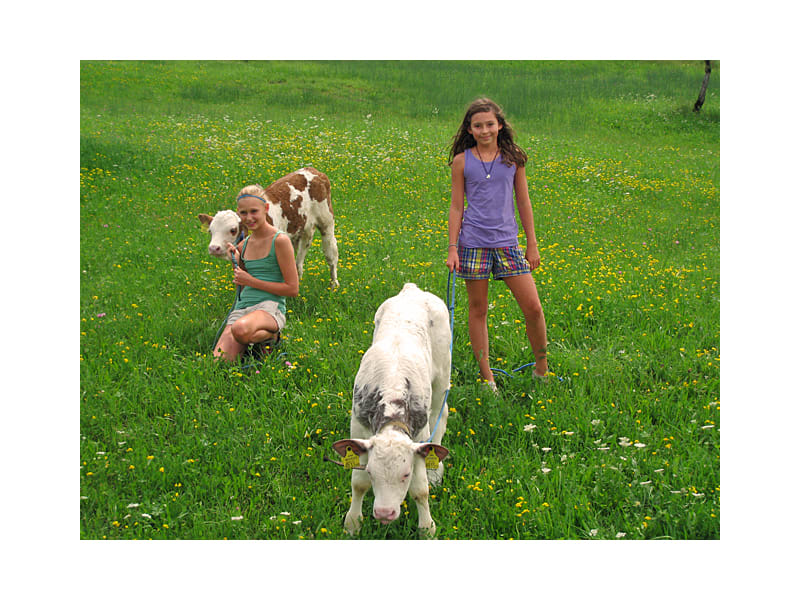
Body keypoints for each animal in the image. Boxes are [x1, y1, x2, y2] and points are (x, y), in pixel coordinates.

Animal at [198, 167, 339, 287]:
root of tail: (313, 170)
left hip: (326, 222)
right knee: (299, 259)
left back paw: (334, 285)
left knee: (331, 253)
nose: (213, 248)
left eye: (233, 230)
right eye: (210, 231)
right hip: (302, 228)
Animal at [332, 283, 451, 538]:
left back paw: (436, 472)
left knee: (441, 412)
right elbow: (358, 483)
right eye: (371, 472)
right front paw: (353, 523)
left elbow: (420, 490)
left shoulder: (419, 437)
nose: (385, 513)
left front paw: (427, 527)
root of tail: (412, 290)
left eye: (405, 474)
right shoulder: (358, 427)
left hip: (442, 375)